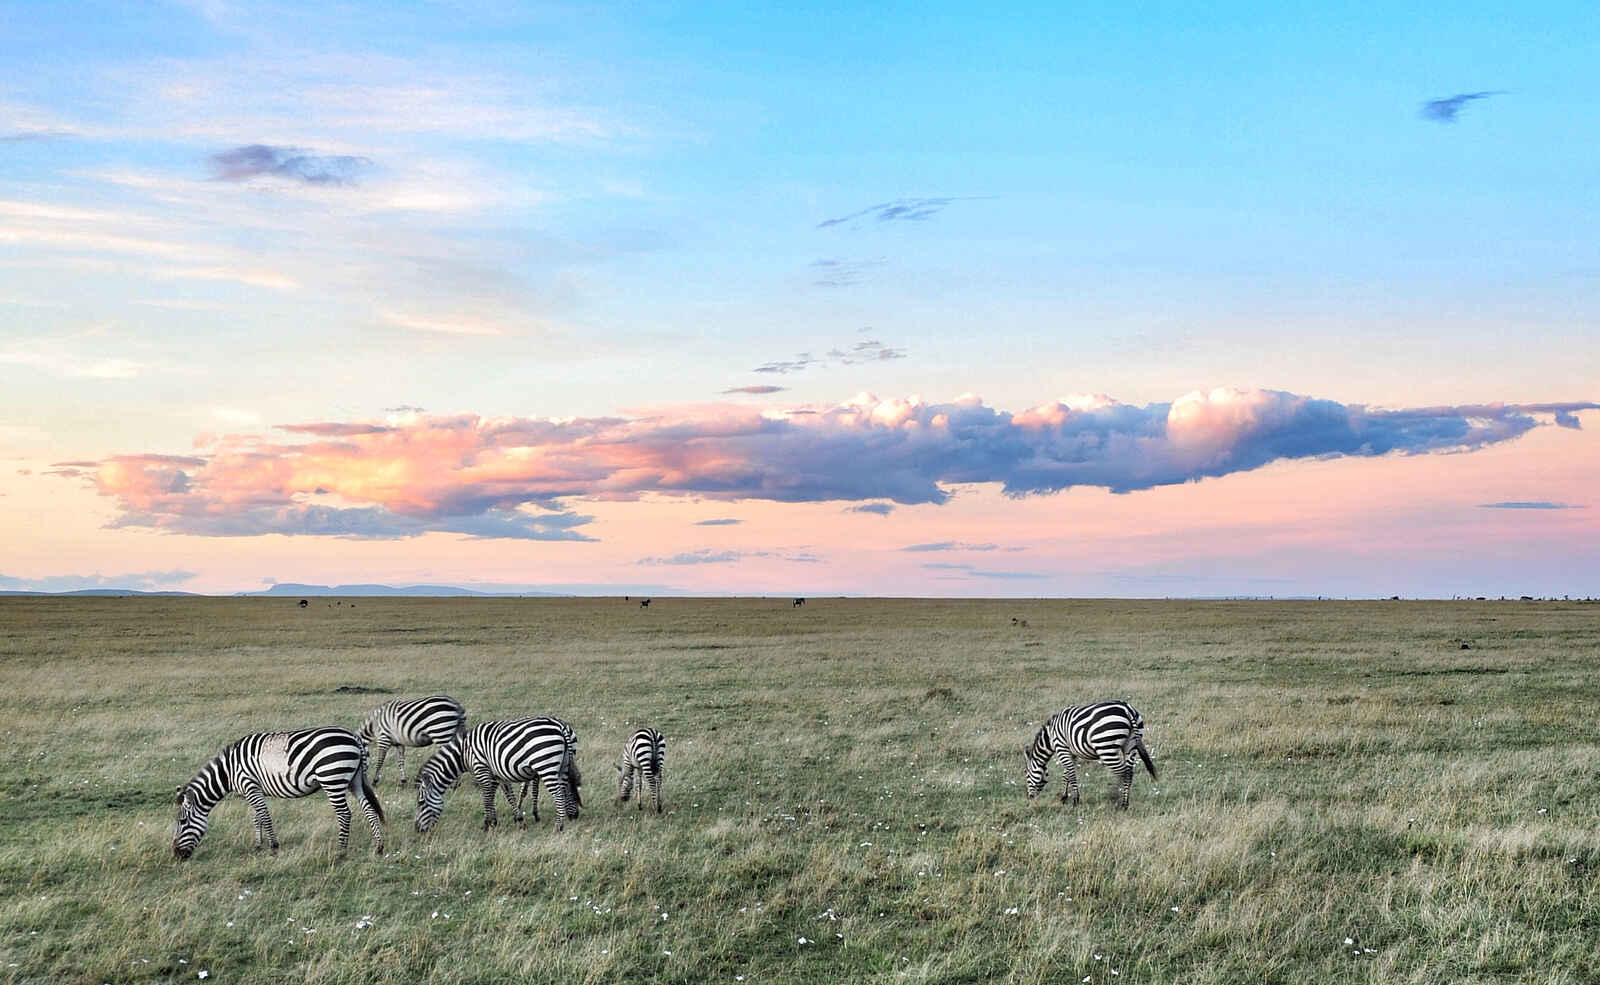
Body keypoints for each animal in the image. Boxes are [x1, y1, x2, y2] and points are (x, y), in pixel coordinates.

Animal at [173, 727, 385, 860]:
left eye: (182, 822)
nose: (176, 855)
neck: (229, 770)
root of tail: (354, 738)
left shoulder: (250, 785)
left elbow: (264, 817)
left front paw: (274, 848)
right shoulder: (255, 789)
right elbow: (256, 817)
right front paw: (258, 846)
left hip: (332, 778)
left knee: (344, 814)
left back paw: (341, 852)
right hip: (354, 781)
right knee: (368, 809)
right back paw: (379, 847)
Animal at [414, 718, 581, 834]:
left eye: (421, 803)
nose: (417, 830)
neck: (464, 753)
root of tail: (560, 726)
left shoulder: (482, 770)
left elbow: (487, 797)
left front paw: (487, 824)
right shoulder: (497, 774)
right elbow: (507, 796)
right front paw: (516, 820)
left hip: (545, 765)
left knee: (558, 794)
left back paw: (559, 826)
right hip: (562, 766)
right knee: (565, 788)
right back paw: (569, 816)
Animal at [1024, 701, 1157, 809]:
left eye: (1026, 774)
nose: (1029, 799)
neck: (1051, 737)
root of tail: (1127, 709)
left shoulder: (1061, 748)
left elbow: (1071, 774)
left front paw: (1075, 800)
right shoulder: (1072, 752)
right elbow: (1066, 774)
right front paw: (1063, 797)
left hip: (1106, 748)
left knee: (1123, 772)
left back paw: (1113, 798)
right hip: (1131, 745)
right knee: (1129, 773)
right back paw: (1125, 804)